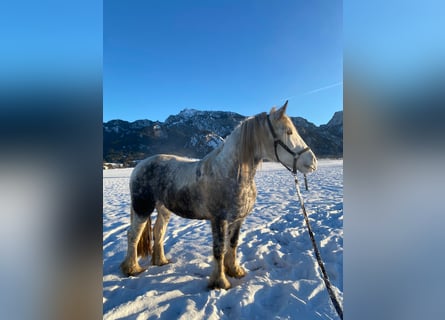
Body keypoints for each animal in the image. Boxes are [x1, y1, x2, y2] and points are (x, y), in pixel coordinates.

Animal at [119, 100, 318, 290]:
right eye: (289, 132)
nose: (313, 162)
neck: (229, 173)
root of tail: (139, 165)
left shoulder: (238, 219)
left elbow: (233, 243)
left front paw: (235, 271)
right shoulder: (218, 220)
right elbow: (219, 249)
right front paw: (220, 282)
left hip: (164, 210)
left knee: (158, 232)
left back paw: (161, 261)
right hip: (142, 208)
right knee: (133, 235)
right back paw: (131, 268)